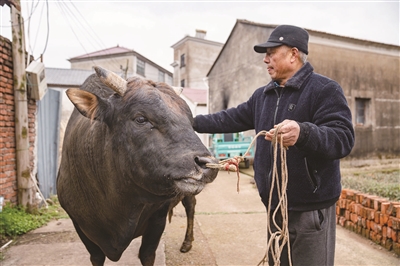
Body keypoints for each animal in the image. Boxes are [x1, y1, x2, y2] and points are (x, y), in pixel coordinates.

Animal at [55, 66, 219, 266]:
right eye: (141, 119)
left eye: (191, 122)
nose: (207, 163)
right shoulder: (80, 226)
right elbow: (96, 257)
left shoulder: (158, 218)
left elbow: (147, 254)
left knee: (190, 207)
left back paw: (187, 243)